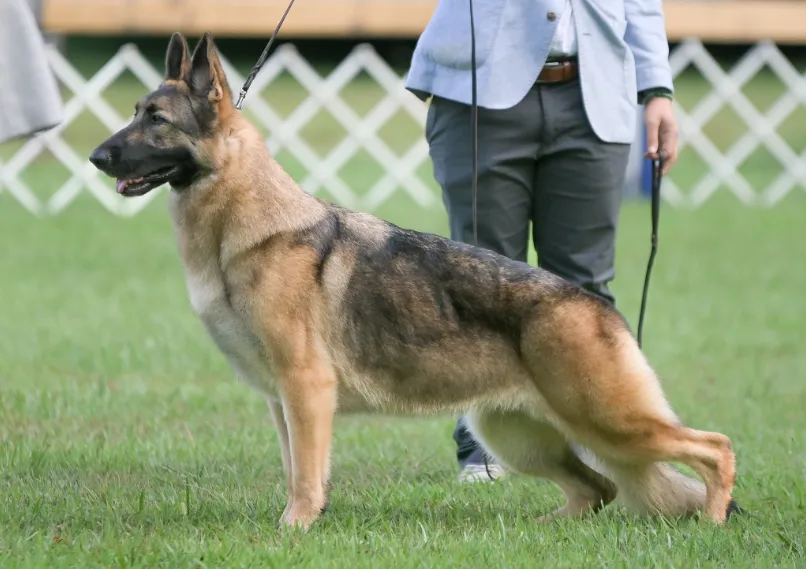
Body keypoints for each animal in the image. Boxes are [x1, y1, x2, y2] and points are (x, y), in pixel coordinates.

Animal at [87, 31, 740, 528]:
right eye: (134, 114)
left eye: (156, 120)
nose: (95, 157)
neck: (242, 225)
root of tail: (597, 307)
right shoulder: (282, 401)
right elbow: (299, 467)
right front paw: (304, 520)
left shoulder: (305, 389)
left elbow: (305, 473)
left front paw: (294, 528)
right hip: (517, 433)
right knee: (598, 489)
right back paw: (549, 527)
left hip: (608, 422)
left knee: (714, 448)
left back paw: (712, 521)